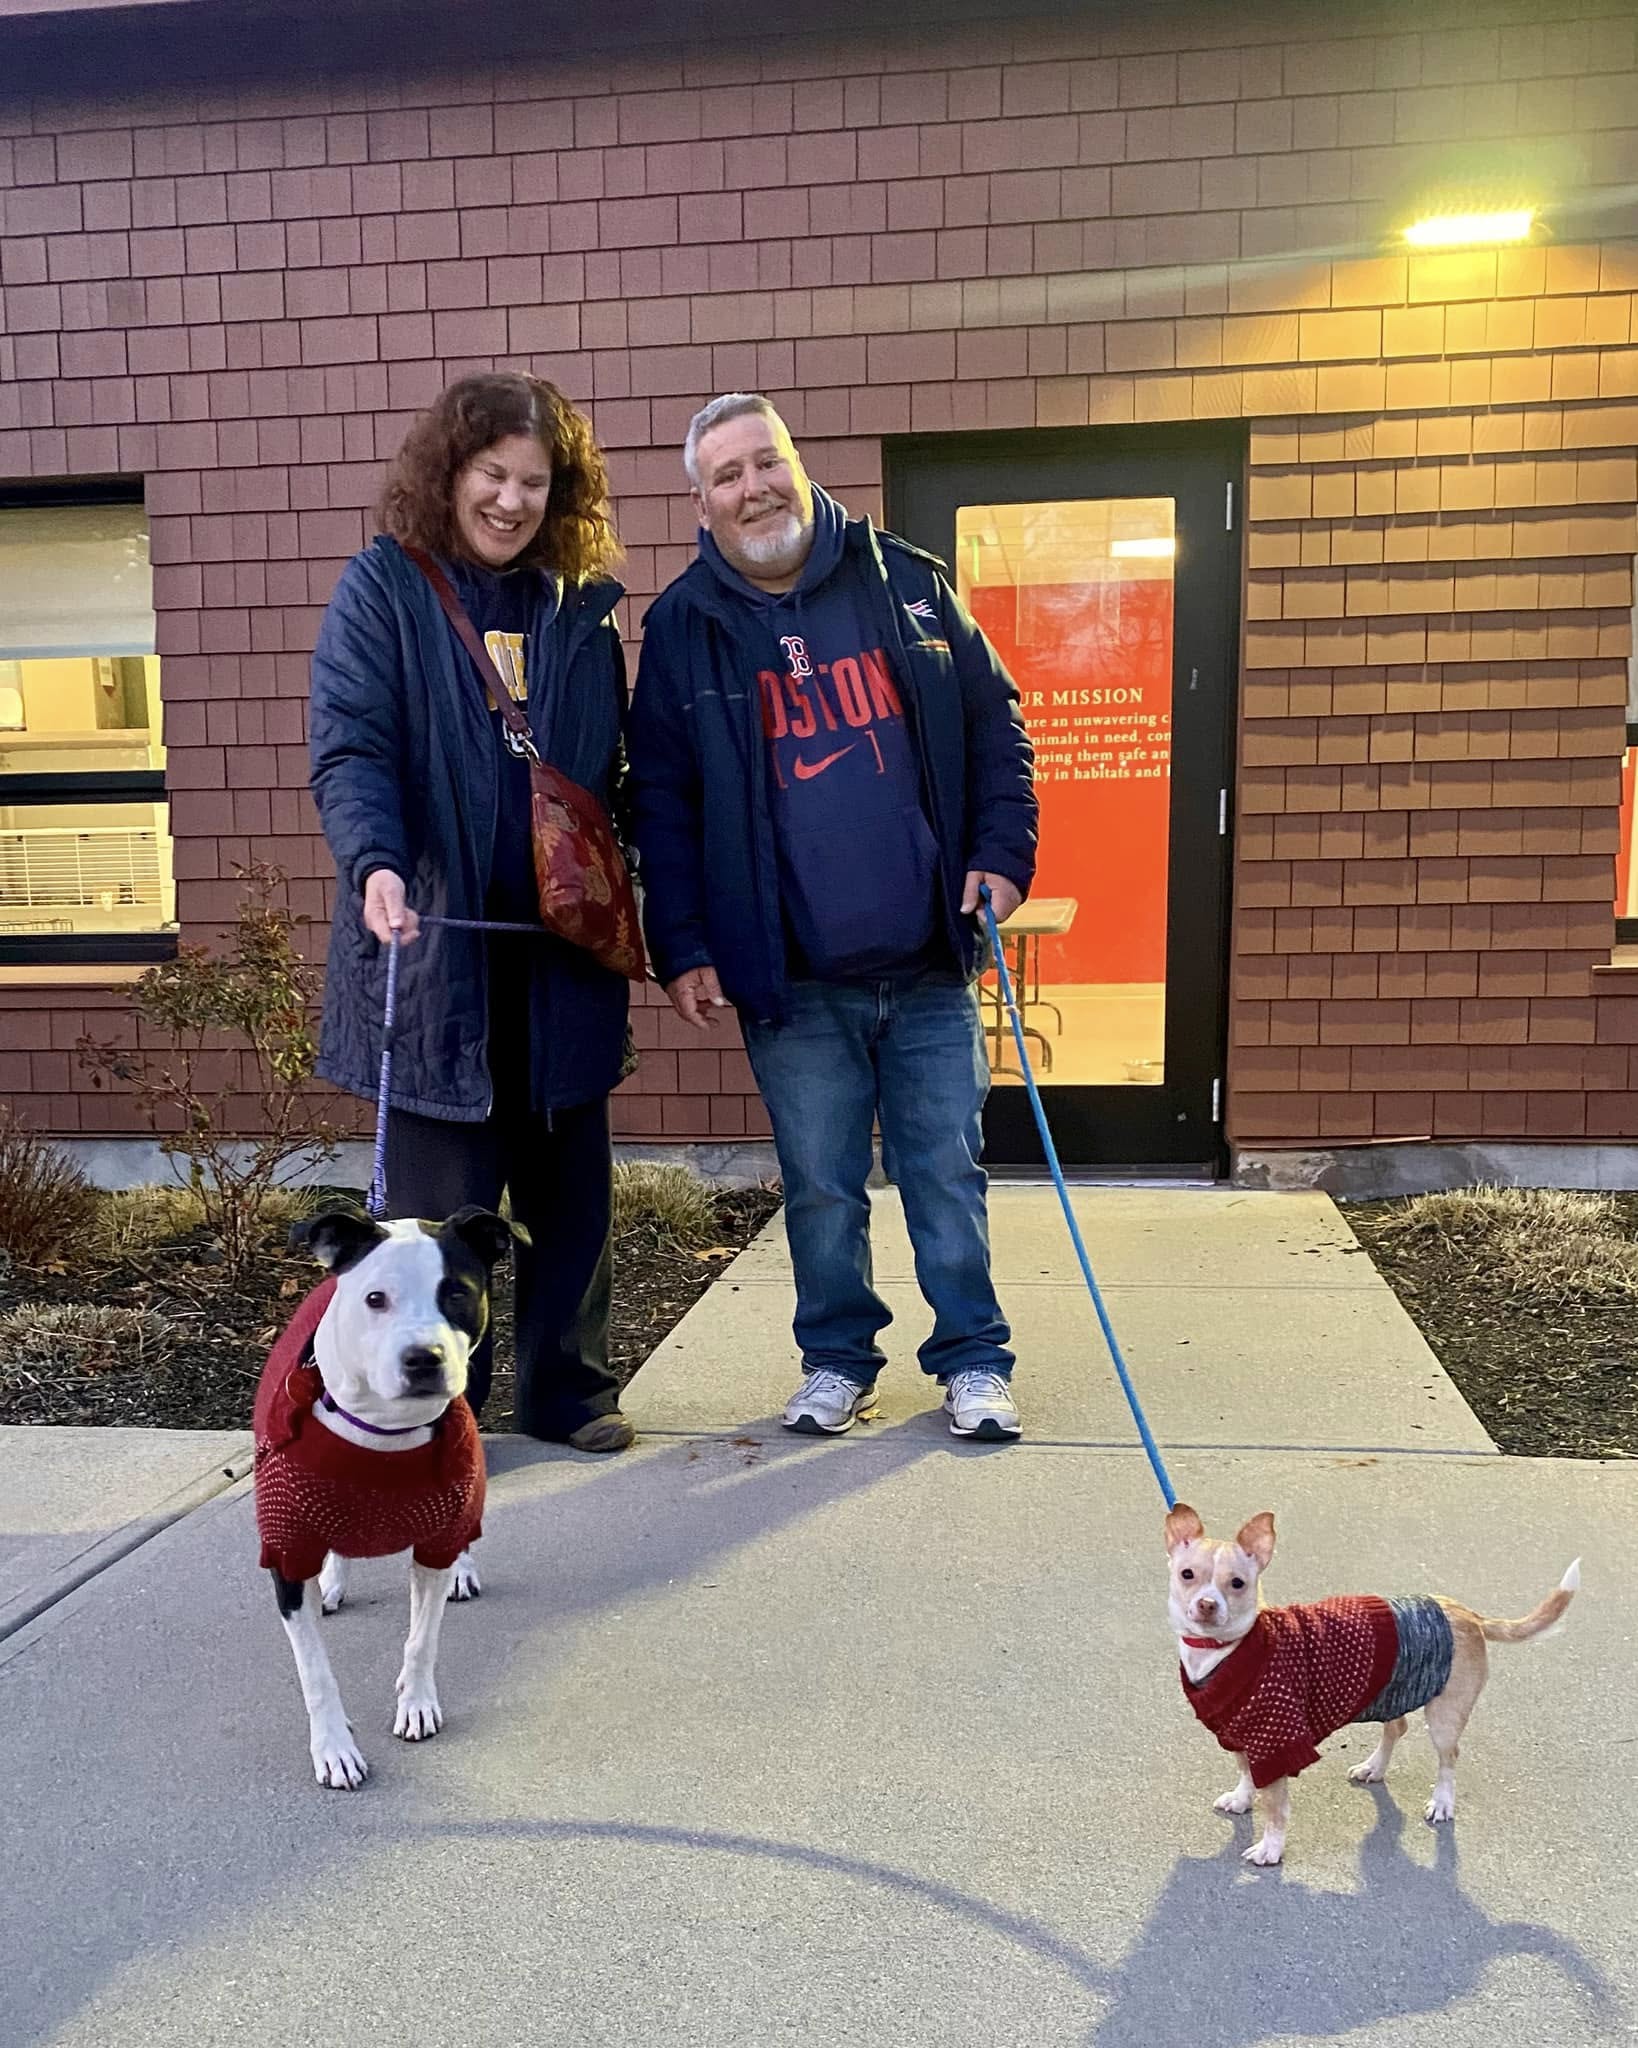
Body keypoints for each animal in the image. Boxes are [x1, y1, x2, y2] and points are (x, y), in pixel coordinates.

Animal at [255, 1204, 524, 1785]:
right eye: (375, 1298)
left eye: (457, 1292)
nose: (424, 1357)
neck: (383, 1430)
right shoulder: (288, 1556)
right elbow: (316, 1674)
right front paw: (334, 1747)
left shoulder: (436, 1542)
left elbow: (422, 1639)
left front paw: (416, 1703)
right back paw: (333, 1581)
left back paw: (462, 1569)